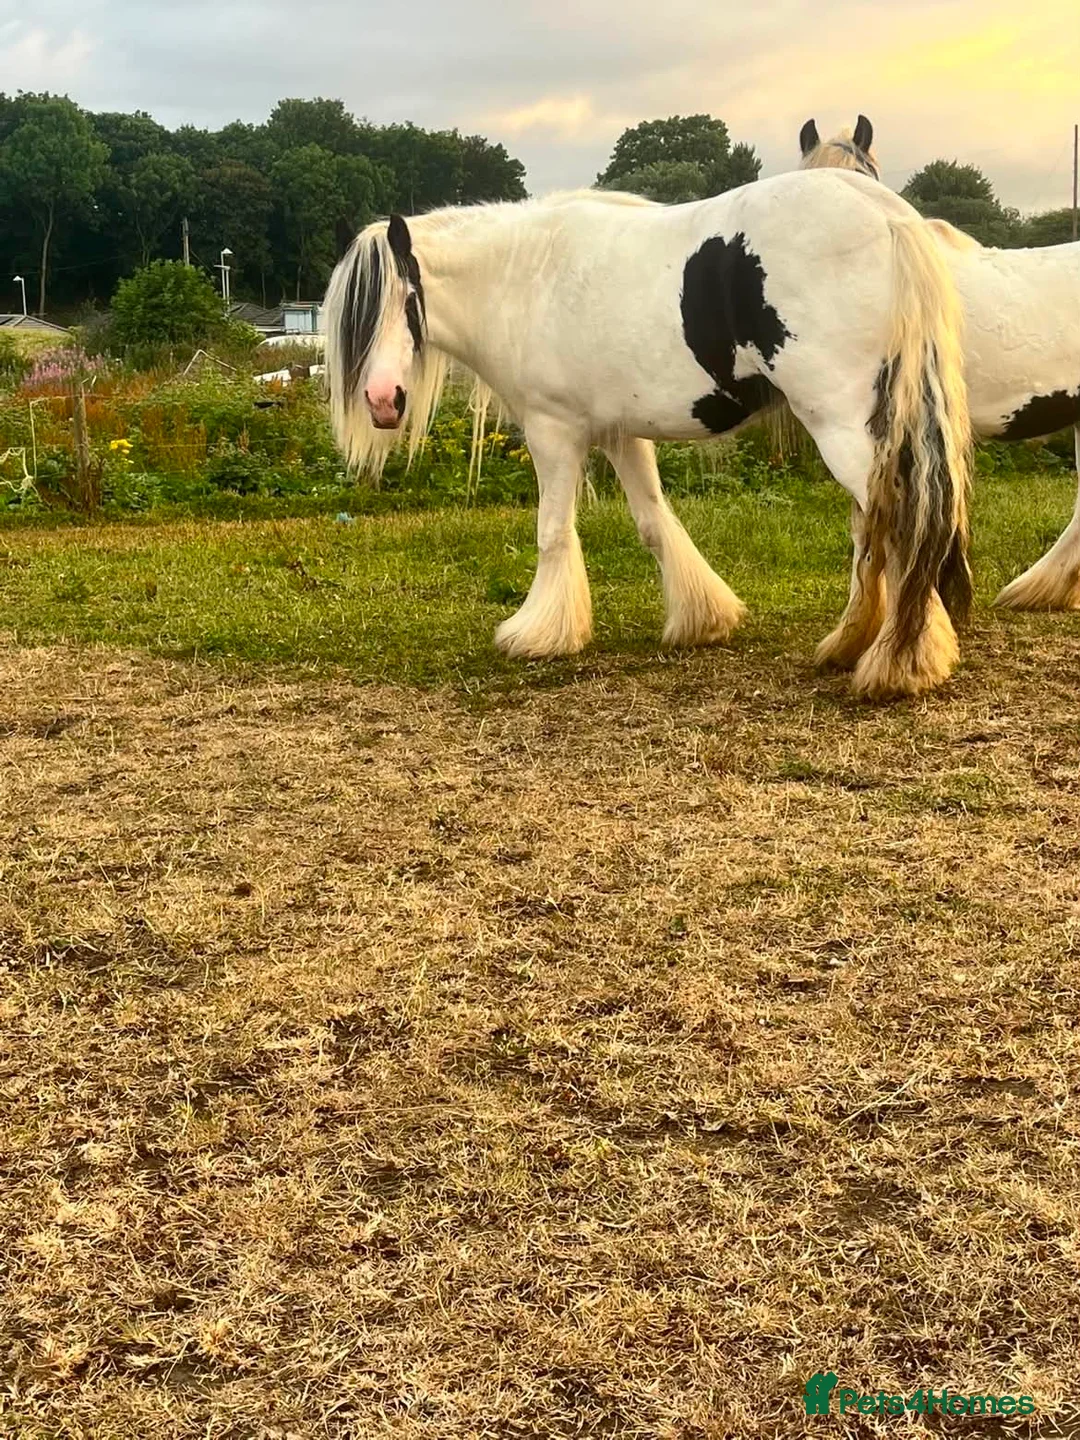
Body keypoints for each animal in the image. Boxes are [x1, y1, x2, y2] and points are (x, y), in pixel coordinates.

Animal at [324, 170, 973, 698]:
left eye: (406, 299)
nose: (383, 401)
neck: (524, 277)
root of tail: (884, 212)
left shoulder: (553, 430)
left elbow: (552, 531)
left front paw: (540, 632)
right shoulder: (620, 435)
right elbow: (655, 523)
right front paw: (702, 617)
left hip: (844, 427)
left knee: (901, 524)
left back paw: (900, 663)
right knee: (876, 529)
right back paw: (851, 645)